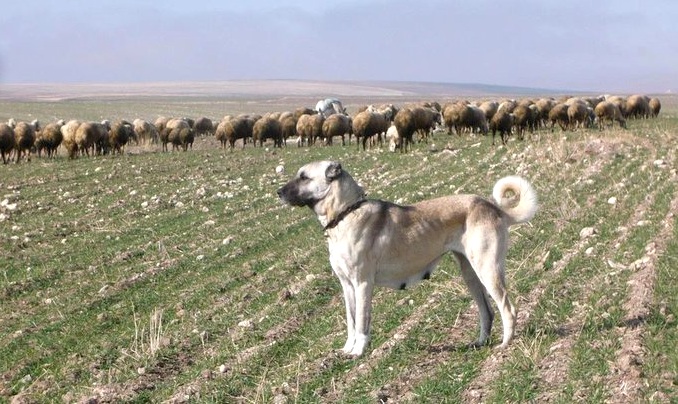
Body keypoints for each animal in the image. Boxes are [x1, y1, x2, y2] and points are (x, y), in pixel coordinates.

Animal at [278, 159, 540, 356]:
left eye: (304, 177)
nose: (278, 192)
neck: (345, 213)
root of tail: (494, 207)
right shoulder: (347, 286)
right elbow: (351, 323)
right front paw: (347, 350)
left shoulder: (362, 284)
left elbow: (362, 322)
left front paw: (358, 352)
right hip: (470, 274)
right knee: (487, 312)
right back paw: (480, 342)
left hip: (487, 269)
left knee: (507, 308)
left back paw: (505, 345)